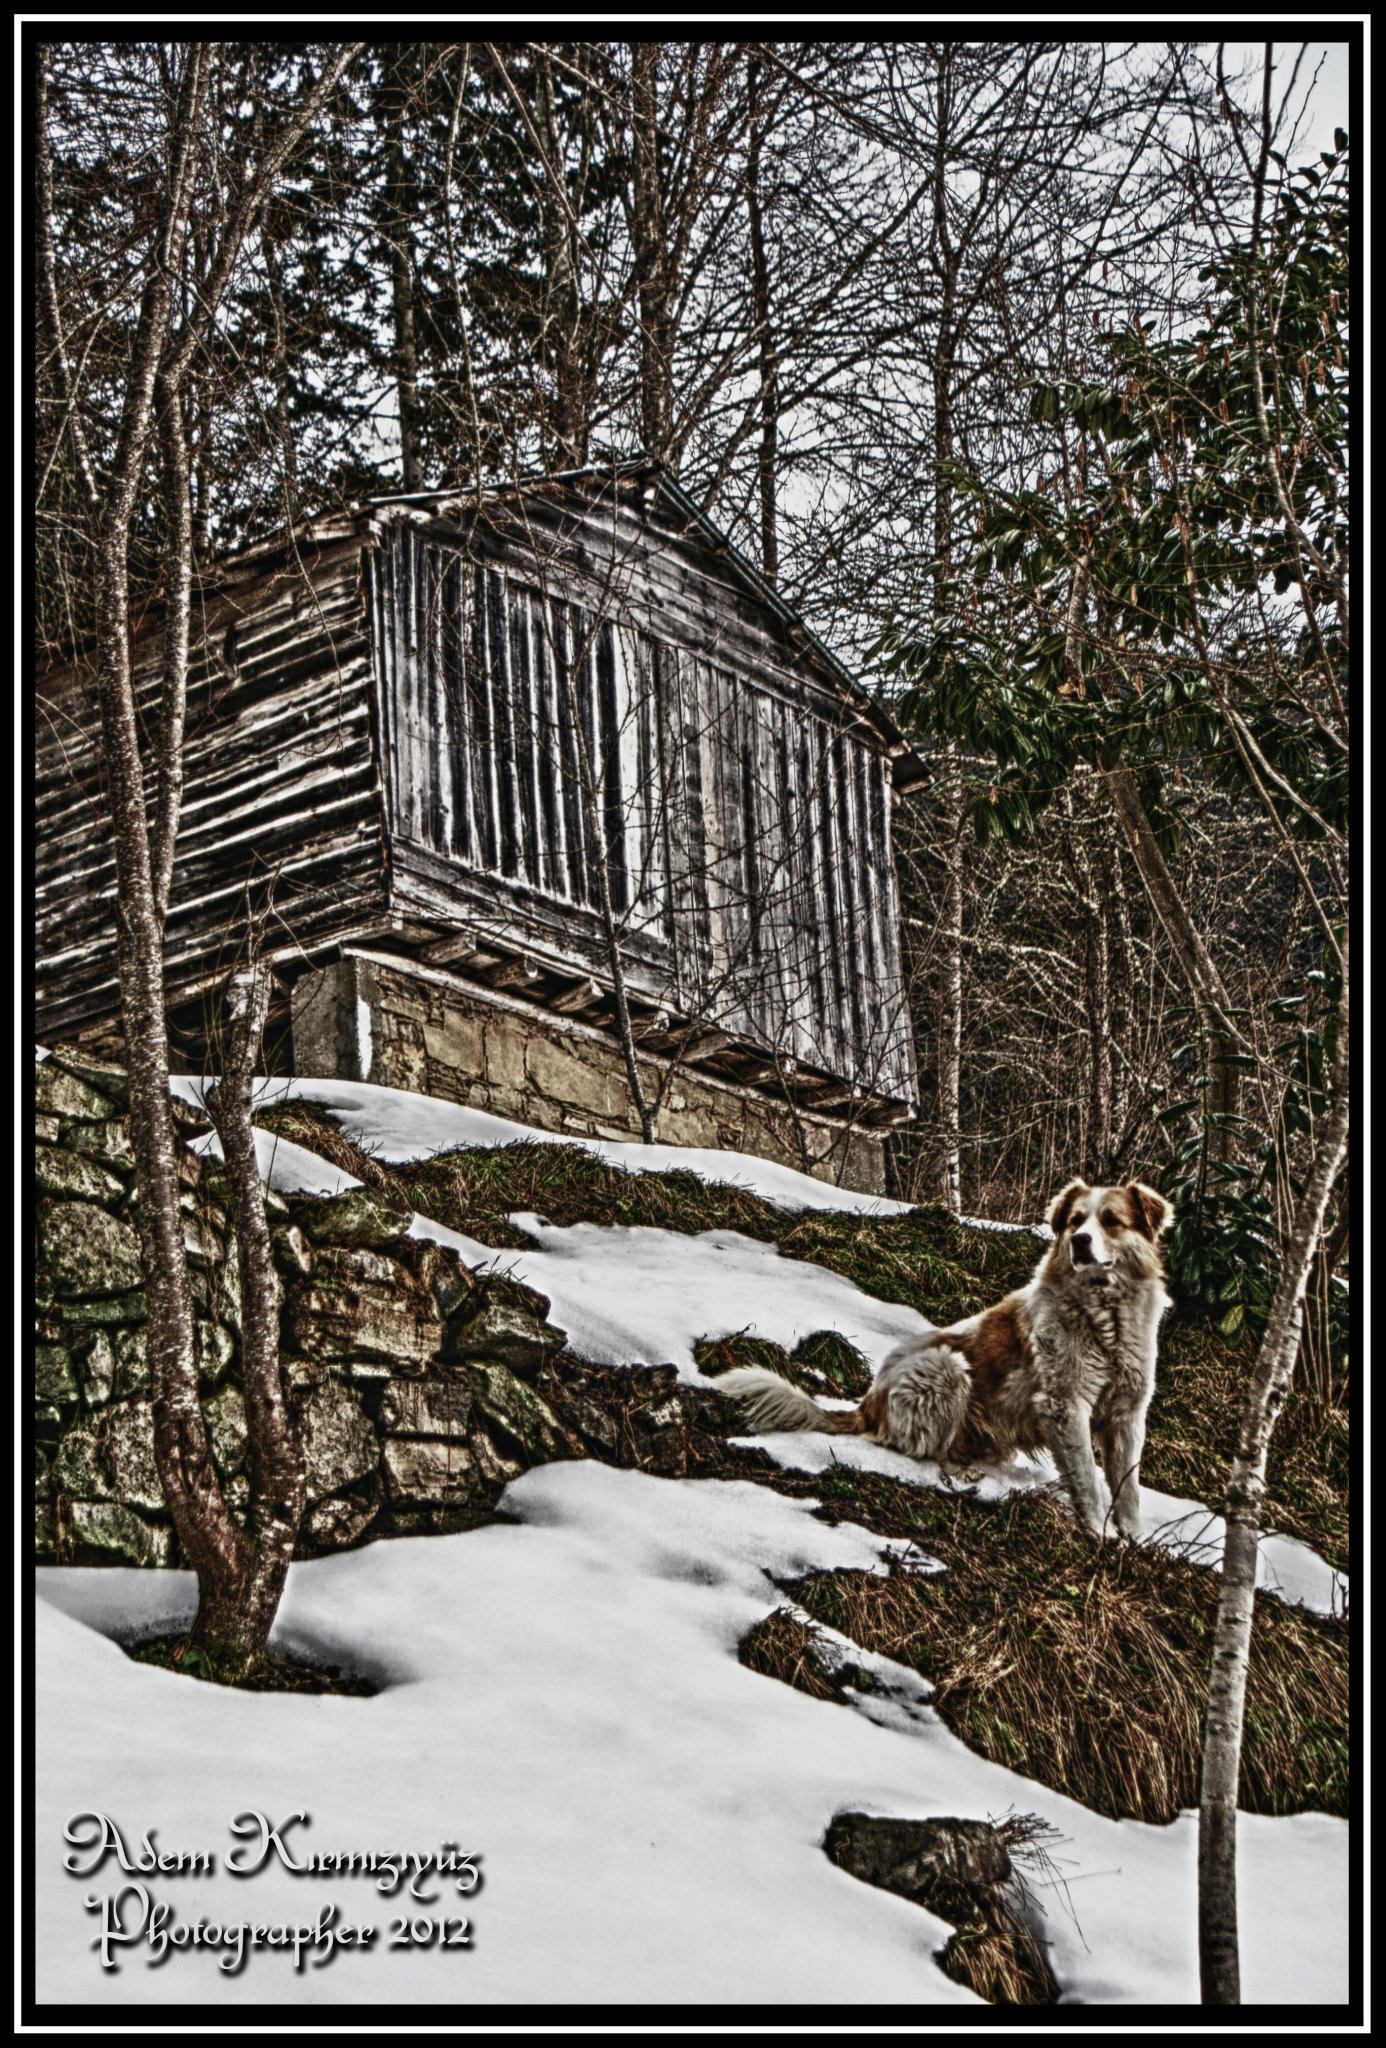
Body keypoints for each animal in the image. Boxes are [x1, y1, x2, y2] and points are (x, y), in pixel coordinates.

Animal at [720, 1179, 1171, 1540]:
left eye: (1111, 1221)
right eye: (1076, 1222)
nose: (1079, 1241)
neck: (1105, 1316)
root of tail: (869, 1401)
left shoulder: (1127, 1414)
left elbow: (1128, 1488)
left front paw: (1135, 1541)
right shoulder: (1065, 1406)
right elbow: (1089, 1481)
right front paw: (1098, 1534)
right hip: (947, 1368)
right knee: (922, 1449)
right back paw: (961, 1470)